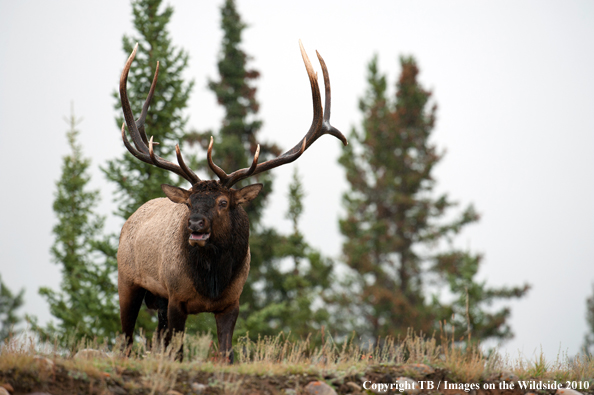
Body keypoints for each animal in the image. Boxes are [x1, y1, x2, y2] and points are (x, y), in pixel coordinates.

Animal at [116, 40, 344, 362]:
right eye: (189, 202)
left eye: (224, 202)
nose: (195, 224)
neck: (212, 282)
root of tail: (131, 218)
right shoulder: (175, 298)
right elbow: (179, 353)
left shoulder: (232, 302)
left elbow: (226, 353)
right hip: (128, 281)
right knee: (125, 338)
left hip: (155, 299)